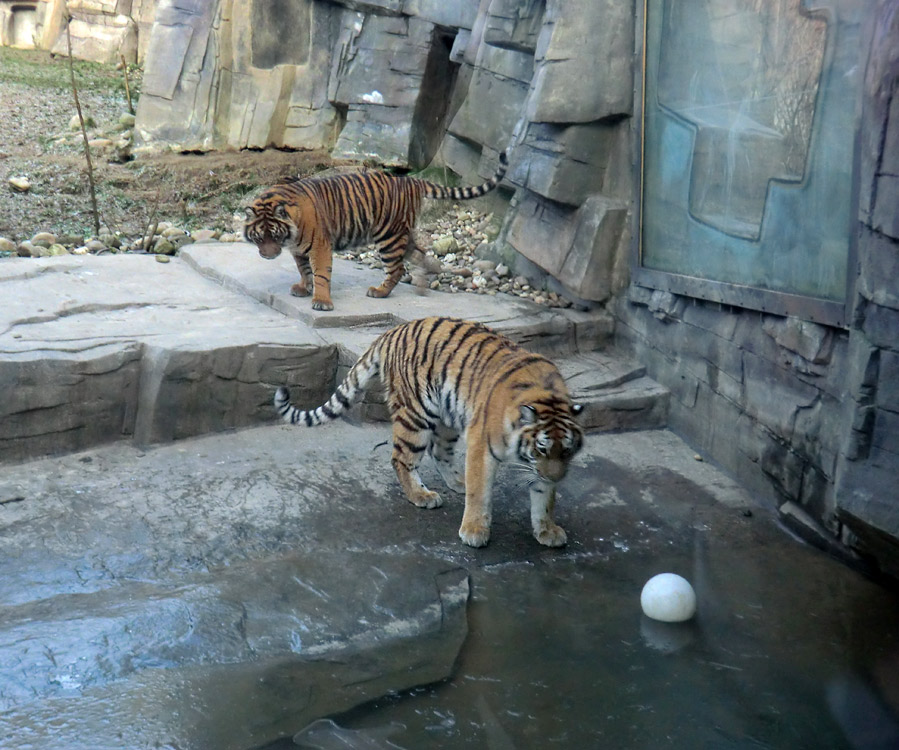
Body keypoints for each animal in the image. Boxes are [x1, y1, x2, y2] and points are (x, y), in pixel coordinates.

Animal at [243, 154, 506, 312]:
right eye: (259, 237)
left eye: (275, 235)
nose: (268, 255)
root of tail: (413, 181)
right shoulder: (298, 250)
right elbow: (304, 269)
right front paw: (304, 287)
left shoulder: (319, 246)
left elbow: (320, 274)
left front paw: (321, 301)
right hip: (403, 234)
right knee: (420, 254)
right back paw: (421, 287)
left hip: (389, 237)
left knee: (397, 269)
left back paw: (380, 292)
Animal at [272, 314, 584, 548]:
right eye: (541, 448)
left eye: (566, 451)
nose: (556, 477)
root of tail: (393, 330)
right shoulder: (481, 445)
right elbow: (481, 492)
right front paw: (474, 531)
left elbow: (544, 498)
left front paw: (547, 530)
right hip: (416, 415)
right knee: (401, 458)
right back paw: (422, 496)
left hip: (447, 414)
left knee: (439, 450)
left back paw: (458, 481)